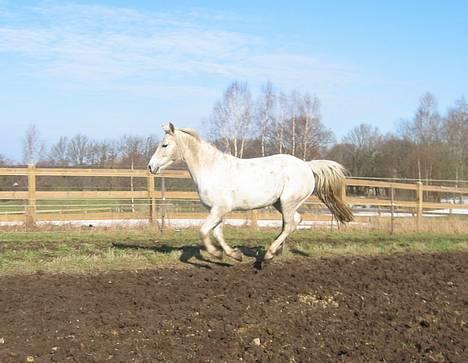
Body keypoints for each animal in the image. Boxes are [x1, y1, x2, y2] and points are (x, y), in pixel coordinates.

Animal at [148, 123, 352, 264]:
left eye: (164, 145)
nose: (151, 166)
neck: (211, 169)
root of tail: (307, 166)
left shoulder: (219, 209)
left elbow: (204, 231)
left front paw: (216, 254)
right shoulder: (217, 210)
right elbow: (218, 234)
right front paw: (234, 255)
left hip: (288, 202)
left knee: (289, 224)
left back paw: (269, 254)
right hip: (281, 203)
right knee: (295, 221)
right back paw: (276, 251)